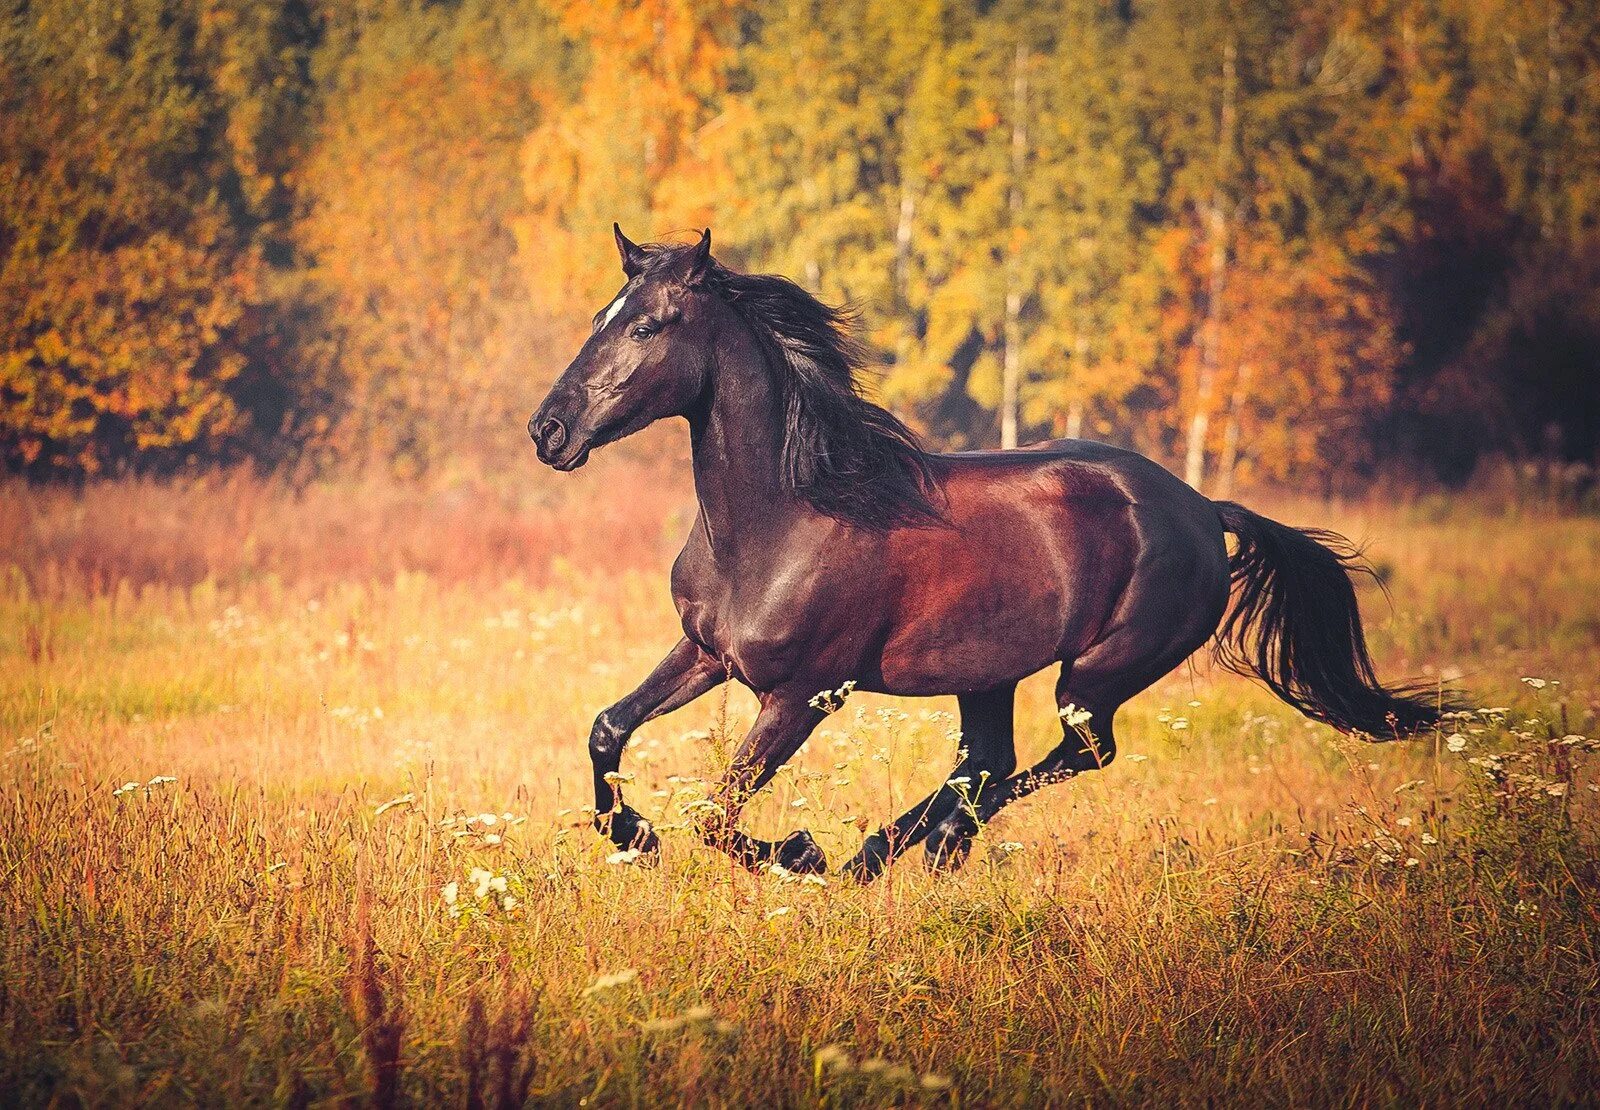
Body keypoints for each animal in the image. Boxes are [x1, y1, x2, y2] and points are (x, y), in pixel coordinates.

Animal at [528, 228, 1452, 889]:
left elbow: (717, 816)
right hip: (989, 672)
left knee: (1070, 756)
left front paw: (799, 851)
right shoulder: (705, 652)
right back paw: (915, 848)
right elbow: (608, 729)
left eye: (648, 324)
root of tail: (1202, 511)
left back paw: (889, 851)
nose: (549, 430)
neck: (783, 517)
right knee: (988, 764)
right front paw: (634, 836)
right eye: (600, 317)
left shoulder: (804, 695)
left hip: (1098, 672)